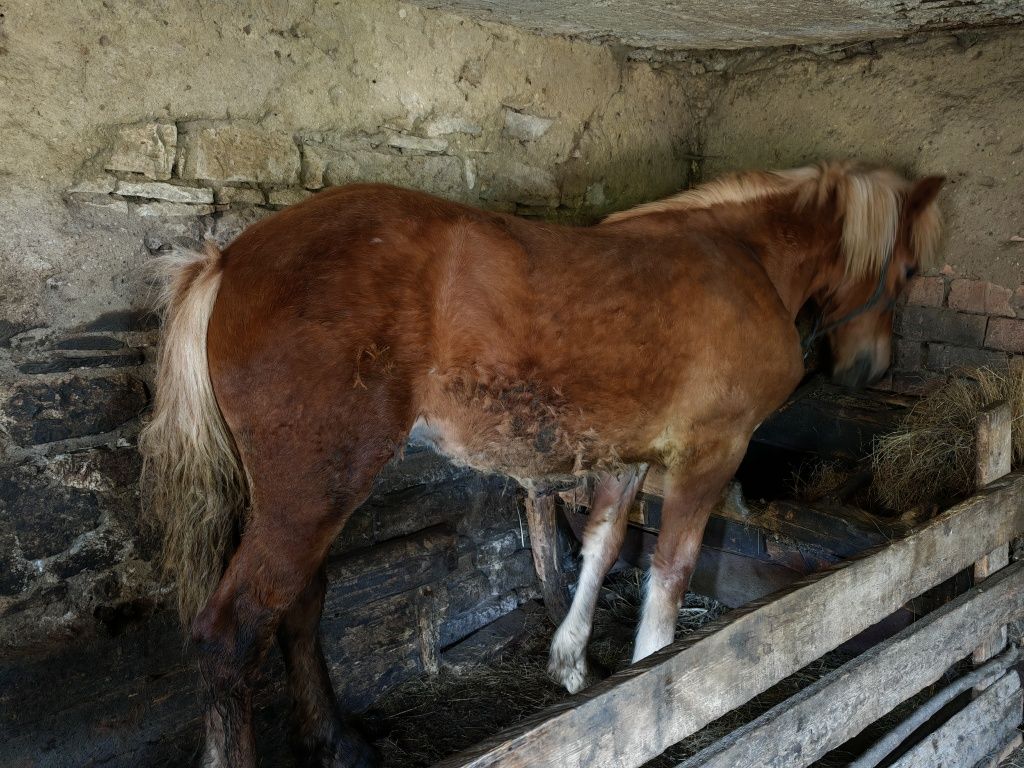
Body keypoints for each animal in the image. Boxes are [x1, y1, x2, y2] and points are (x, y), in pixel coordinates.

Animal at [142, 159, 942, 765]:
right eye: (908, 268)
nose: (869, 369)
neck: (744, 261)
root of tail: (228, 261)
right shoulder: (710, 453)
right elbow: (670, 574)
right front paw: (659, 686)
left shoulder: (629, 455)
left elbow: (600, 547)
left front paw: (572, 662)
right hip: (313, 493)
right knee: (233, 635)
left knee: (299, 609)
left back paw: (337, 742)